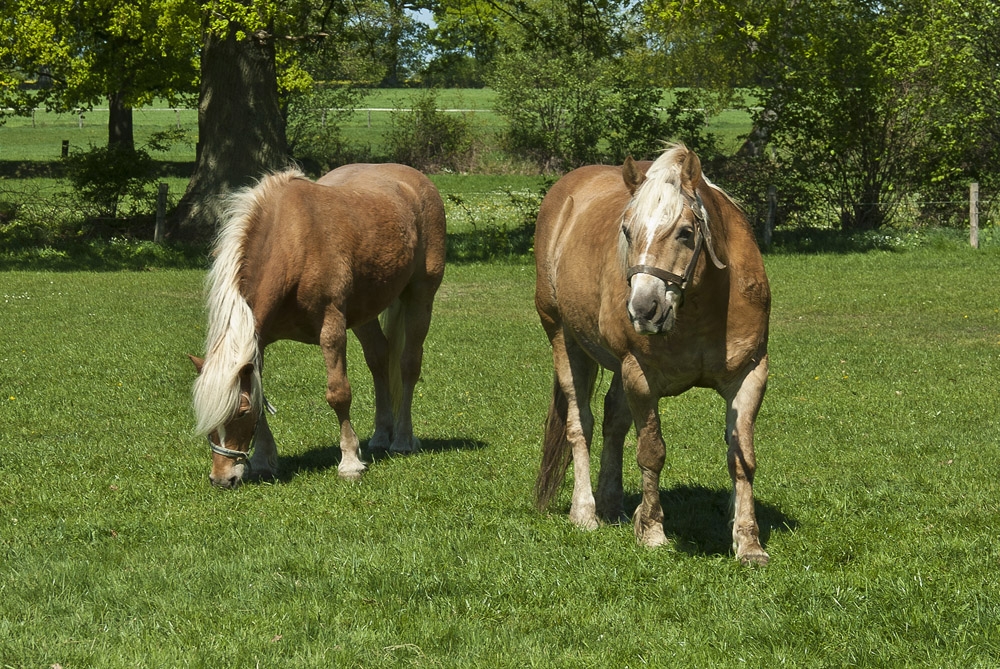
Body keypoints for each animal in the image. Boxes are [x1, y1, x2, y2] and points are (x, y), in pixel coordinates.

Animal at [190, 162, 446, 486]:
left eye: (240, 412)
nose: (222, 479)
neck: (292, 241)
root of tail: (415, 179)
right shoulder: (258, 341)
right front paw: (262, 461)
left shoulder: (332, 328)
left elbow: (339, 393)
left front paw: (350, 462)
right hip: (364, 312)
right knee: (379, 359)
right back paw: (380, 435)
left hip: (420, 298)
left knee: (408, 364)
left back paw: (402, 438)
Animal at [532, 145, 772, 564]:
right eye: (627, 231)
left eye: (686, 232)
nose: (643, 309)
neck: (703, 306)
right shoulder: (640, 377)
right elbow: (651, 452)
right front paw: (652, 532)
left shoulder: (750, 376)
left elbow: (742, 458)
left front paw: (748, 543)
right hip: (563, 338)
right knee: (581, 424)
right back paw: (585, 512)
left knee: (613, 420)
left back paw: (611, 505)